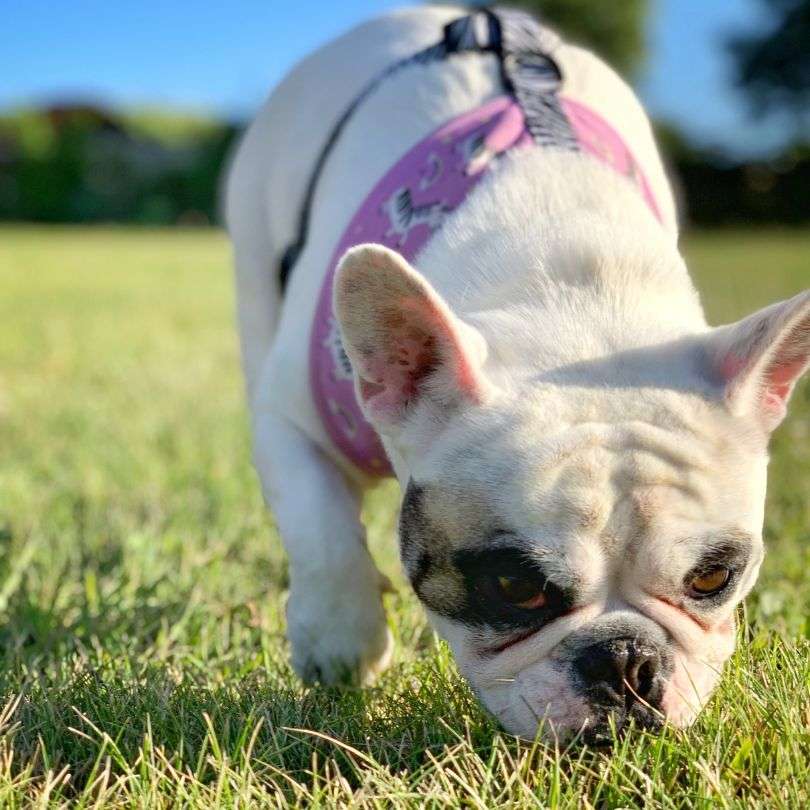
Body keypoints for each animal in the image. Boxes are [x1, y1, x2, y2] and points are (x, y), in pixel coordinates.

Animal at [225, 5, 810, 741]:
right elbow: (322, 532)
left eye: (713, 578)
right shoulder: (292, 425)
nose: (625, 661)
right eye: (512, 586)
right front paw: (340, 644)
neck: (572, 292)